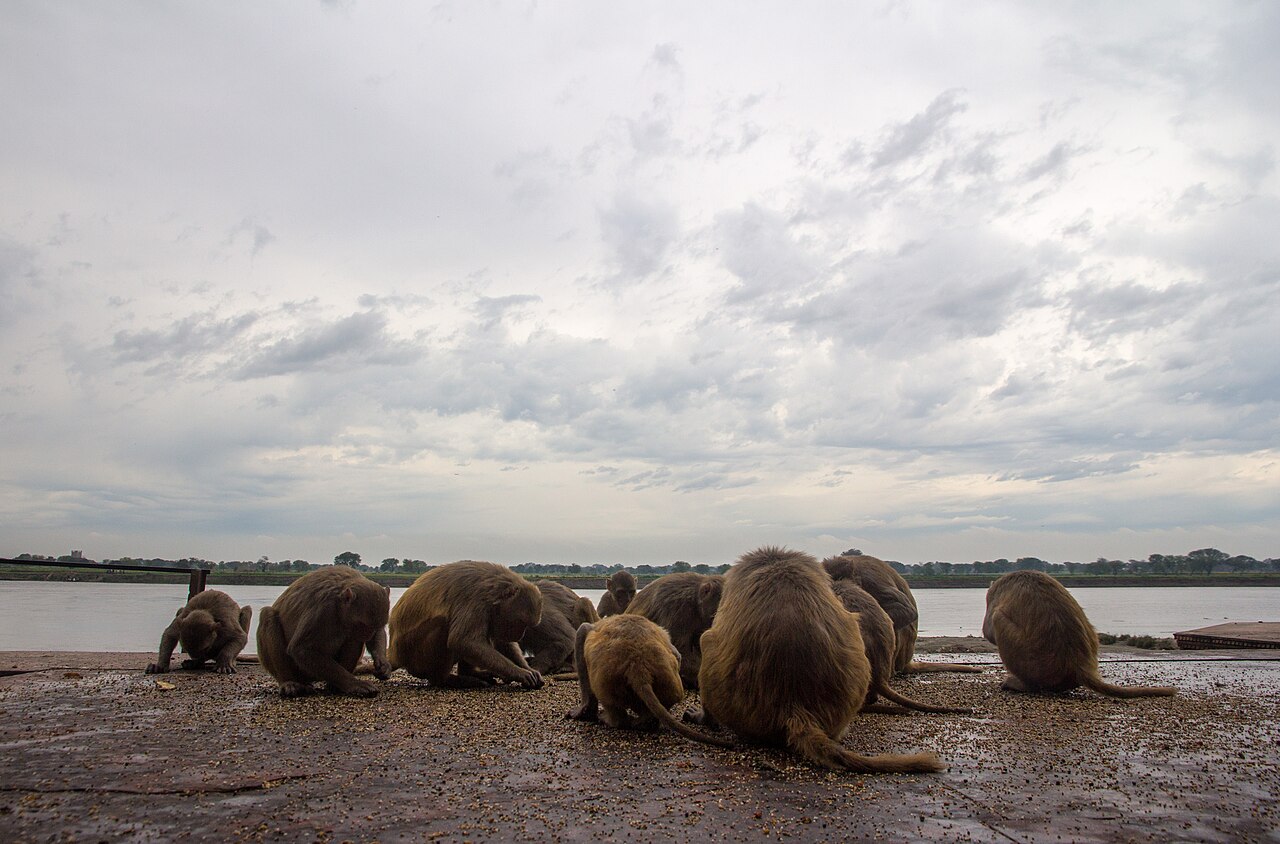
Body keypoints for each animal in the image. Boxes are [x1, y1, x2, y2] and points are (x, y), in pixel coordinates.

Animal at [256, 566, 392, 698]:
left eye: (374, 626)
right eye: (362, 625)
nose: (368, 635)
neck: (339, 605)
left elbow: (376, 633)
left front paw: (382, 664)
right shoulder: (323, 609)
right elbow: (301, 649)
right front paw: (354, 683)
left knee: (352, 638)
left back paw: (335, 686)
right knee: (268, 615)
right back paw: (289, 682)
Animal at [388, 560, 545, 689]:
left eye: (527, 625)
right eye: (521, 623)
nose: (520, 635)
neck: (492, 591)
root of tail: (395, 654)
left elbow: (501, 641)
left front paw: (528, 669)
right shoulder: (476, 600)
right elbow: (463, 641)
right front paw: (520, 673)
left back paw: (471, 673)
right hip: (414, 654)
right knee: (444, 626)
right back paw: (445, 680)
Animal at [565, 614, 732, 748]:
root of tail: (638, 664)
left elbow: (583, 631)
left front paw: (584, 712)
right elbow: (677, 655)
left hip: (608, 680)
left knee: (608, 700)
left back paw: (612, 720)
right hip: (666, 681)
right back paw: (647, 722)